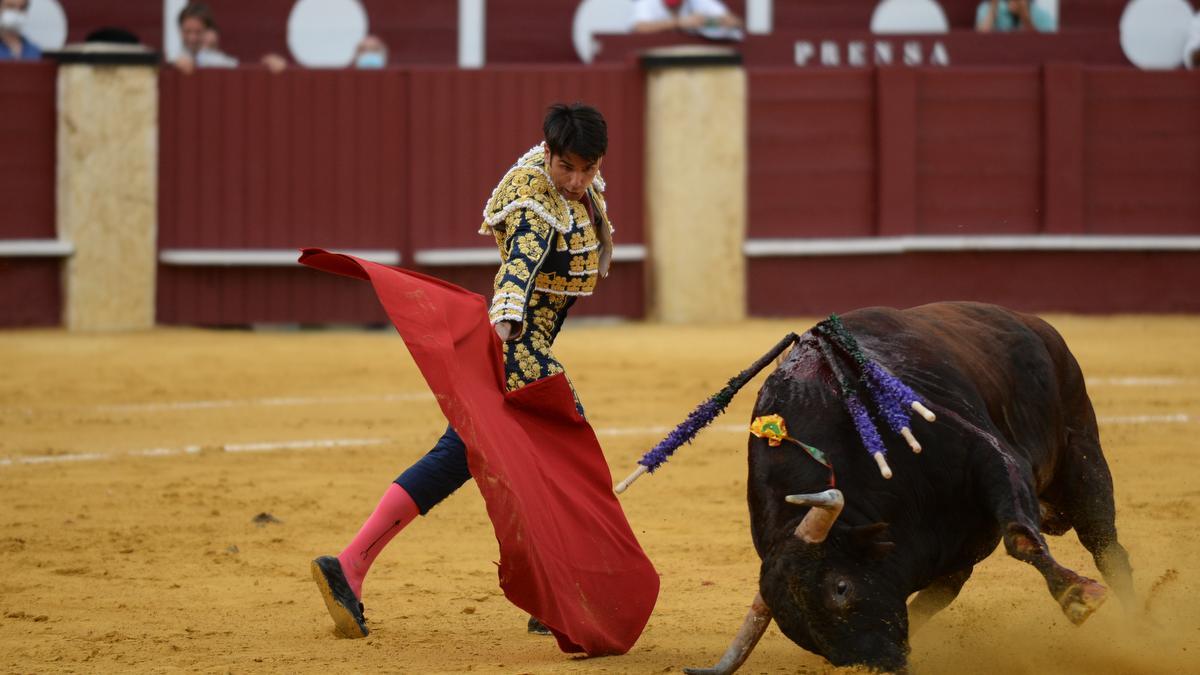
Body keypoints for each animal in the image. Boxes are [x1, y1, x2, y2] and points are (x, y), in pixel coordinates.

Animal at [686, 302, 1132, 672]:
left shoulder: (992, 459)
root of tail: (1032, 323)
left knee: (1106, 547)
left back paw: (1137, 623)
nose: (875, 666)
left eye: (841, 587)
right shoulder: (951, 548)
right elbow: (927, 600)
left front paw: (1078, 597)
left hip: (1083, 456)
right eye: (800, 633)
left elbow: (1020, 536)